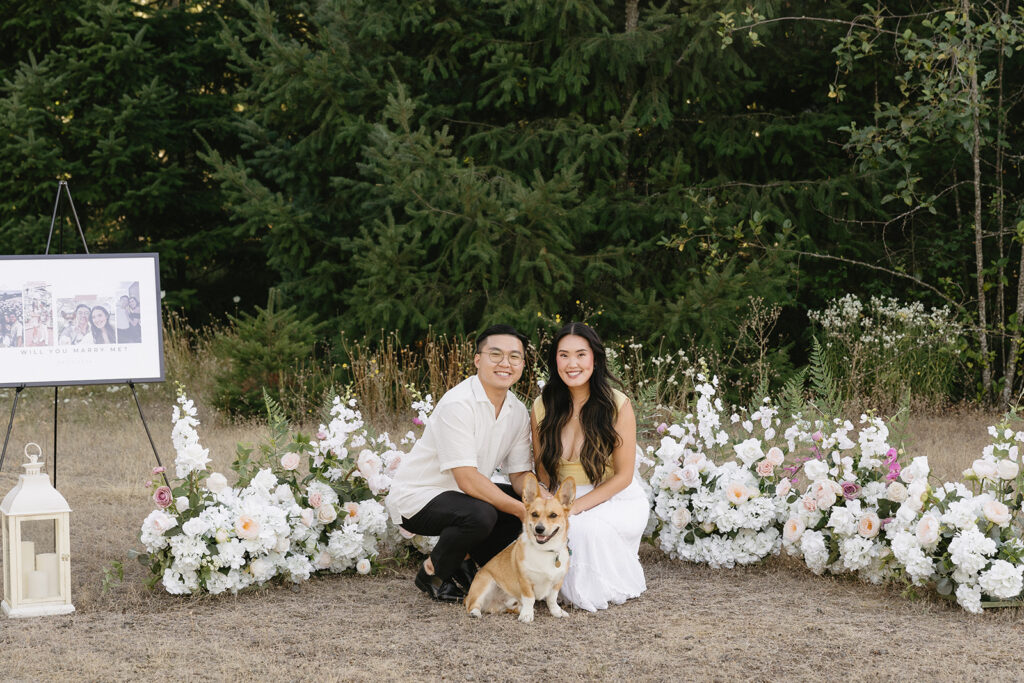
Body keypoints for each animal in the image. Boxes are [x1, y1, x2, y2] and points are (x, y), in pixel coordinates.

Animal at [466, 473, 577, 622]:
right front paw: (527, 615)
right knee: (473, 604)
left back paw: (519, 609)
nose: (539, 529)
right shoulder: (525, 581)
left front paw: (556, 612)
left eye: (553, 515)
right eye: (534, 514)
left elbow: (552, 599)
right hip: (486, 583)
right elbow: (529, 598)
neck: (544, 550)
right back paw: (475, 613)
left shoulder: (557, 582)